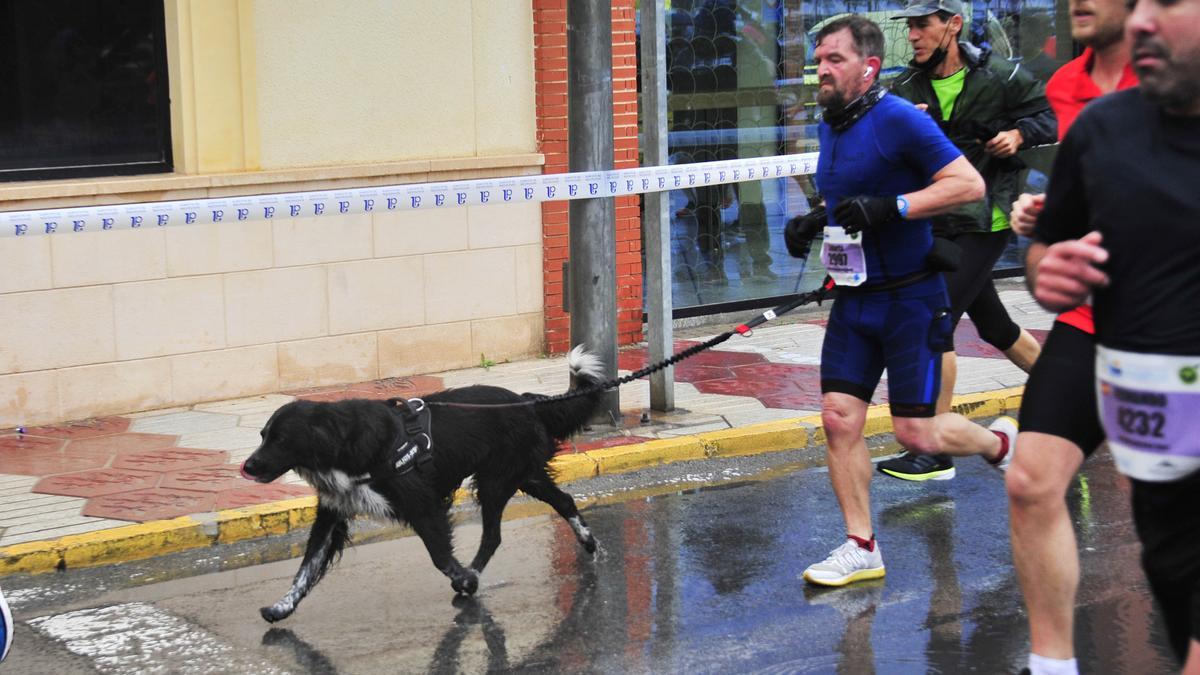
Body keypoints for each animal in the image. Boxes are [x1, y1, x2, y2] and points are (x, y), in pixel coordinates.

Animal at [238, 345, 604, 619]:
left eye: (281, 440)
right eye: (263, 436)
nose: (248, 466)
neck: (345, 443)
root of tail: (528, 401)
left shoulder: (423, 504)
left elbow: (440, 556)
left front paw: (466, 581)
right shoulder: (332, 512)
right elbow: (306, 567)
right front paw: (281, 607)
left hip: (496, 480)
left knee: (494, 535)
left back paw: (476, 573)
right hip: (524, 475)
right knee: (564, 502)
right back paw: (589, 543)